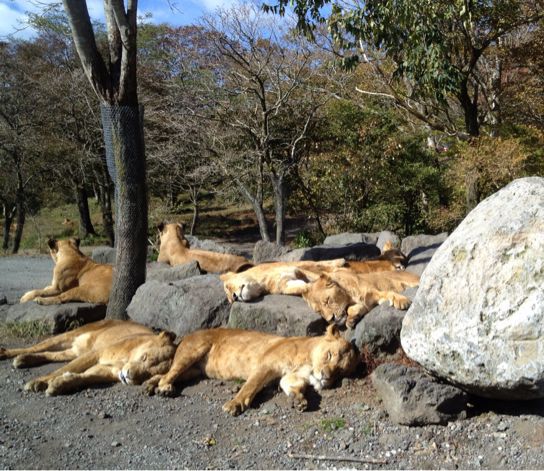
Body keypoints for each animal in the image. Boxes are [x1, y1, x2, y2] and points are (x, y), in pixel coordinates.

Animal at [0, 318, 176, 396]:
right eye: (145, 357)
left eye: (149, 375)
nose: (129, 377)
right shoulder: (95, 354)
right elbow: (61, 370)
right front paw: (39, 382)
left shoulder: (105, 370)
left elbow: (84, 377)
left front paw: (60, 384)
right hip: (70, 336)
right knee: (37, 346)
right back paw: (8, 354)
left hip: (73, 351)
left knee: (49, 354)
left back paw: (24, 360)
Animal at [144, 324, 356, 416]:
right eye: (329, 355)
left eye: (339, 372)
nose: (326, 377)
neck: (308, 364)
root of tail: (187, 335)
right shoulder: (265, 365)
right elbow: (249, 387)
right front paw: (234, 405)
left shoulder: (289, 377)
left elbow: (290, 385)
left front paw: (299, 400)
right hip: (192, 352)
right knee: (170, 374)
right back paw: (164, 389)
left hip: (194, 371)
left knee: (167, 374)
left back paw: (150, 385)